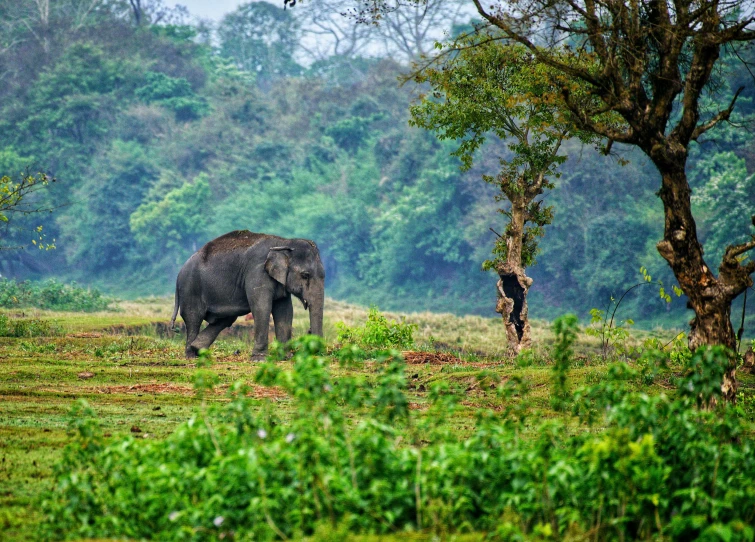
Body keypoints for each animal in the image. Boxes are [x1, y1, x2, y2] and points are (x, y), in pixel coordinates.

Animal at [171, 231, 324, 362]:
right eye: (305, 275)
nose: (309, 331)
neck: (284, 242)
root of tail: (178, 274)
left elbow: (285, 311)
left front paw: (285, 357)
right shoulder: (257, 273)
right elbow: (261, 307)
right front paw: (259, 359)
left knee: (225, 319)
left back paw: (197, 349)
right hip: (190, 287)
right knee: (193, 318)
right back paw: (191, 355)